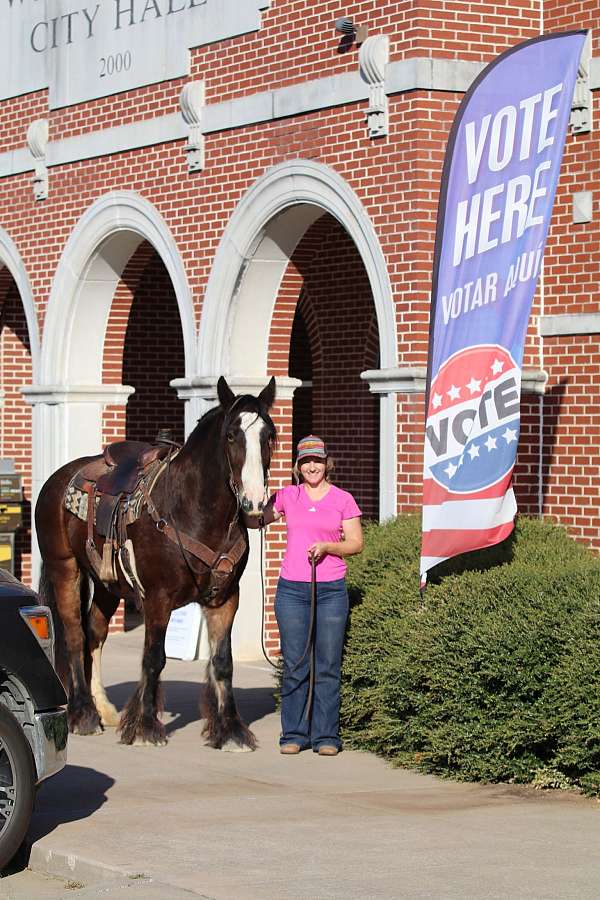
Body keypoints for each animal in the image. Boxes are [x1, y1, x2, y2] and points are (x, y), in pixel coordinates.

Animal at [35, 376, 274, 748]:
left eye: (269, 435)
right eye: (232, 435)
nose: (255, 501)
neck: (193, 509)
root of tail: (59, 479)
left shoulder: (225, 598)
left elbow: (223, 662)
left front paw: (231, 730)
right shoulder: (157, 598)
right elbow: (153, 658)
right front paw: (146, 726)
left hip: (107, 583)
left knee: (94, 633)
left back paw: (102, 708)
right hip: (65, 568)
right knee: (74, 635)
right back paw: (83, 714)